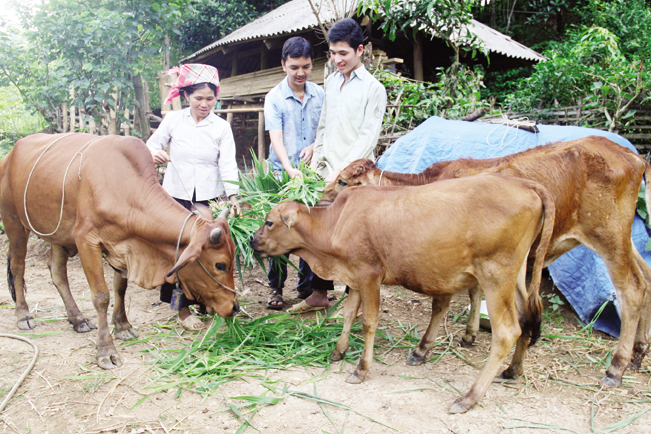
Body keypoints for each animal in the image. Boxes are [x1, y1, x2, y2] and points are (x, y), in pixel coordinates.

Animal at [0, 133, 239, 370]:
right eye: (220, 265)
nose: (234, 306)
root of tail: (9, 155)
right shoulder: (86, 241)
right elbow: (101, 296)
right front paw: (106, 349)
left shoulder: (123, 248)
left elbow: (120, 289)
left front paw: (123, 326)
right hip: (14, 223)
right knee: (18, 267)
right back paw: (23, 315)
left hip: (58, 235)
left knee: (57, 272)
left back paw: (78, 319)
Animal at [250, 174, 556, 414]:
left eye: (269, 222)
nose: (252, 239)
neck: (336, 224)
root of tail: (525, 183)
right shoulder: (354, 276)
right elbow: (348, 314)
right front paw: (338, 350)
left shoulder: (369, 275)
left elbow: (369, 321)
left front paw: (361, 369)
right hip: (517, 276)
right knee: (528, 318)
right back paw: (513, 370)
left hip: (495, 276)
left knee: (506, 332)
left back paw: (469, 397)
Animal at [320, 136, 651, 386]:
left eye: (343, 181)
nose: (321, 199)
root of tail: (633, 155)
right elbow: (474, 292)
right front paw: (469, 334)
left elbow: (441, 304)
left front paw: (423, 349)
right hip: (625, 239)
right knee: (647, 278)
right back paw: (638, 352)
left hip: (607, 237)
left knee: (632, 289)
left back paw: (616, 366)